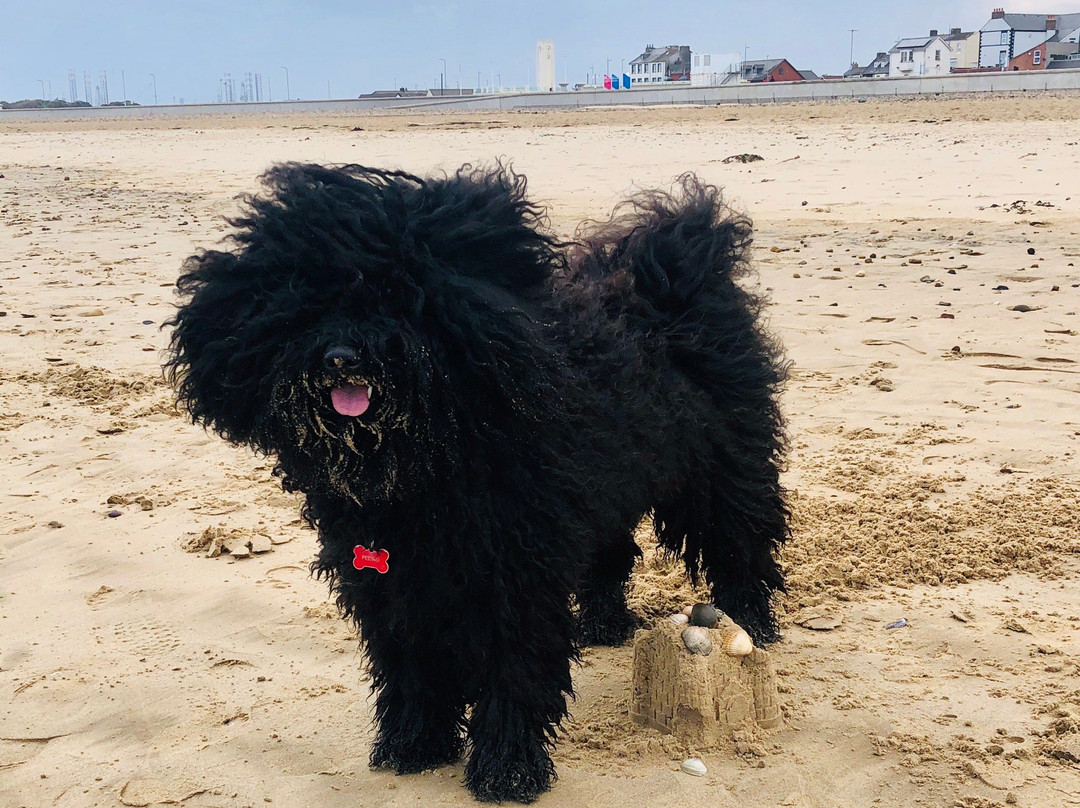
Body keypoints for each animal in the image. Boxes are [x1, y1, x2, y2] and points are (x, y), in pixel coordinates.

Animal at [170, 162, 794, 803]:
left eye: (398, 296)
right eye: (303, 300)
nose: (342, 357)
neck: (425, 468)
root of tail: (673, 266)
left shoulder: (515, 578)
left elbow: (512, 673)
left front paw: (508, 769)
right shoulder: (393, 580)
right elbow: (410, 667)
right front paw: (414, 745)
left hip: (724, 474)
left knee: (741, 545)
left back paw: (752, 622)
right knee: (612, 554)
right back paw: (603, 623)